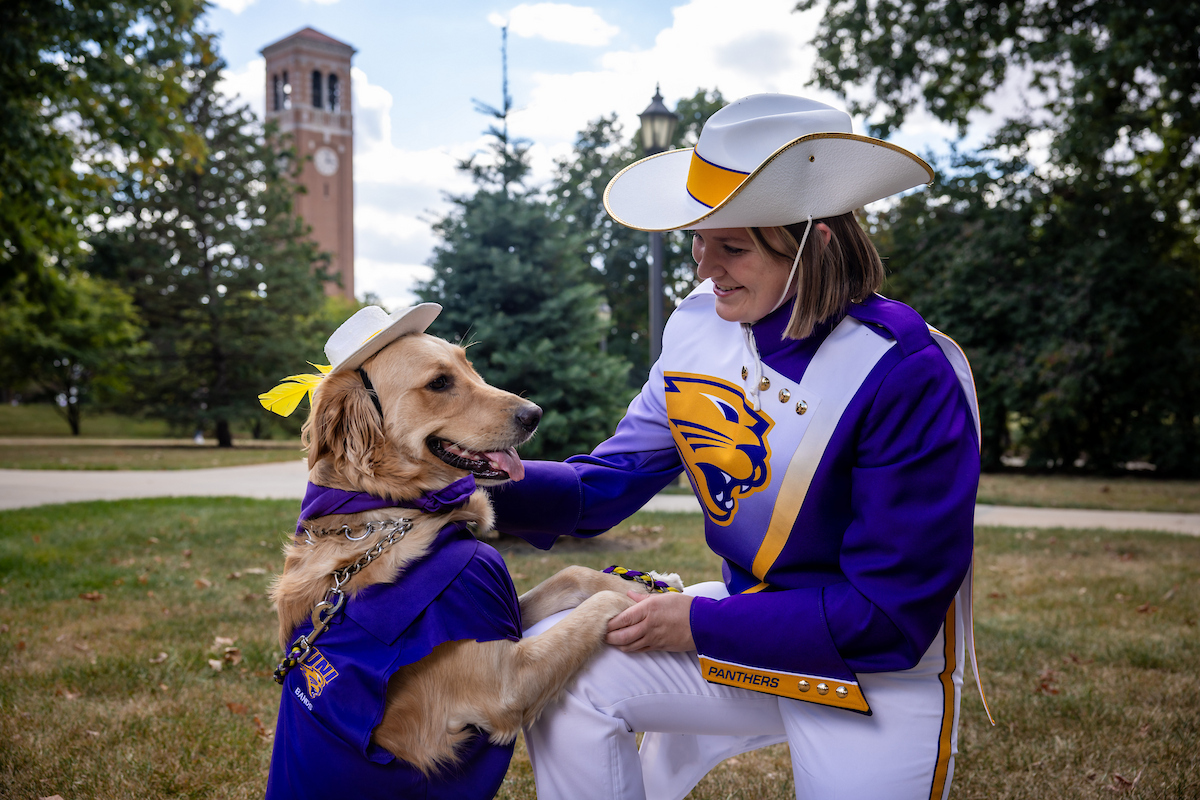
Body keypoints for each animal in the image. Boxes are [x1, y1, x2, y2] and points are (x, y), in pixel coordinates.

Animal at [266, 328, 657, 791]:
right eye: (439, 383)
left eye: (469, 366)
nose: (535, 414)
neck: (392, 512)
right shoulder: (505, 682)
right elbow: (595, 608)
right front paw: (647, 602)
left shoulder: (496, 610)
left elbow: (572, 575)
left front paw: (641, 583)